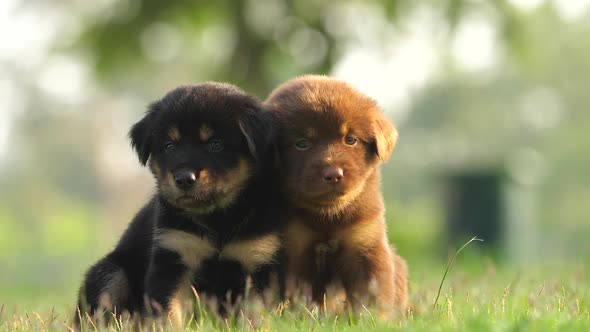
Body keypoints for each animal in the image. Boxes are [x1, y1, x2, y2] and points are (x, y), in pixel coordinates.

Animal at [77, 82, 286, 324]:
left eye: (215, 144)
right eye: (169, 146)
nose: (184, 178)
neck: (217, 218)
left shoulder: (257, 259)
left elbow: (255, 316)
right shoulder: (173, 255)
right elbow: (168, 311)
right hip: (110, 272)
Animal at [266, 74, 410, 316]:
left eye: (350, 139)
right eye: (302, 144)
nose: (333, 174)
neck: (328, 216)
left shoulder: (365, 245)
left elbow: (372, 294)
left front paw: (374, 318)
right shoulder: (293, 249)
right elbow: (296, 296)